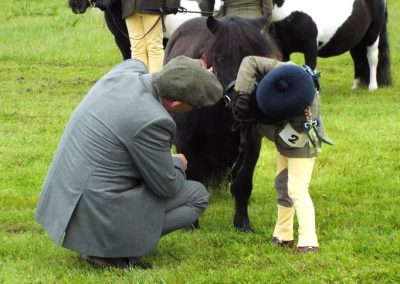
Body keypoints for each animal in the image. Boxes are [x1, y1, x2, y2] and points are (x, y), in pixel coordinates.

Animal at [163, 15, 282, 232]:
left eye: (257, 58)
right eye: (223, 58)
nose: (246, 103)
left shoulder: (251, 144)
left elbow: (242, 183)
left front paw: (242, 224)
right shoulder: (187, 142)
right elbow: (193, 176)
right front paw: (191, 225)